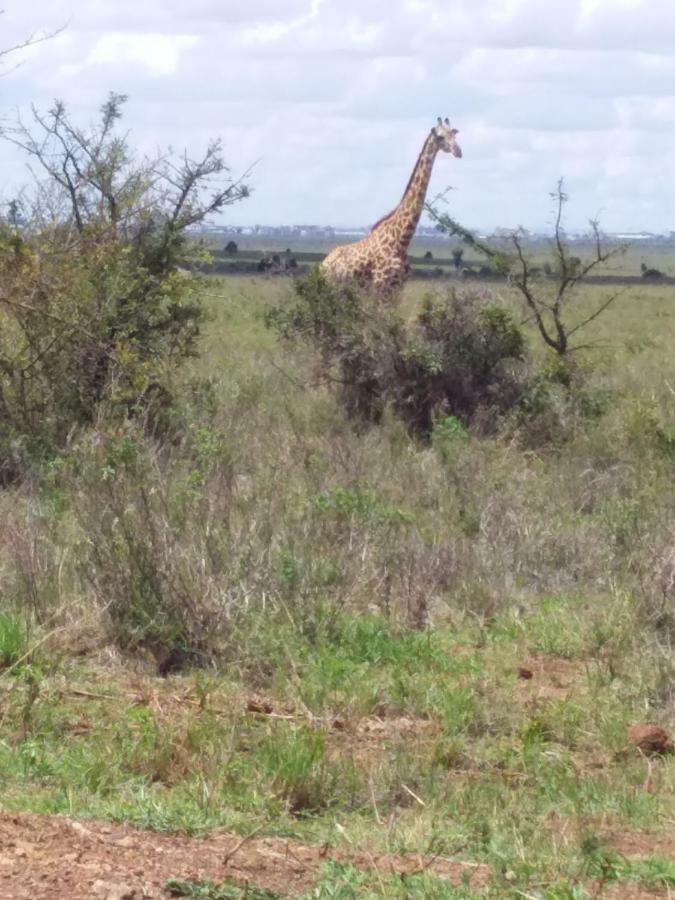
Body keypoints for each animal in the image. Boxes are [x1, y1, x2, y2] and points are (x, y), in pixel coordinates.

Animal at [320, 118, 460, 300]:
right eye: (441, 137)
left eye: (454, 133)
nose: (458, 151)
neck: (401, 240)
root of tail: (323, 264)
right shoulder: (381, 287)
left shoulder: (397, 289)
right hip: (332, 287)